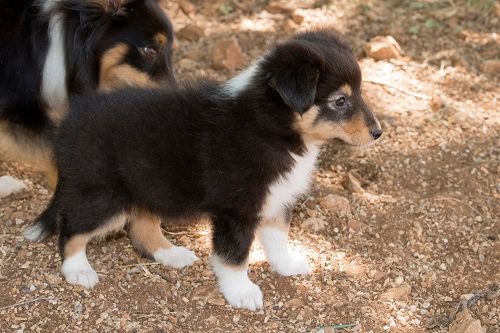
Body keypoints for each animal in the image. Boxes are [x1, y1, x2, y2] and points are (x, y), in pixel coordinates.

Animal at [26, 29, 382, 310]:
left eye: (359, 92)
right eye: (339, 101)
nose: (378, 132)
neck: (273, 127)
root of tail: (69, 122)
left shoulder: (275, 199)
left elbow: (278, 238)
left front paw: (287, 265)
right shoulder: (236, 210)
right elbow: (234, 255)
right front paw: (241, 293)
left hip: (147, 186)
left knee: (141, 228)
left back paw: (171, 255)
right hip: (104, 195)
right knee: (72, 227)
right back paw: (78, 270)